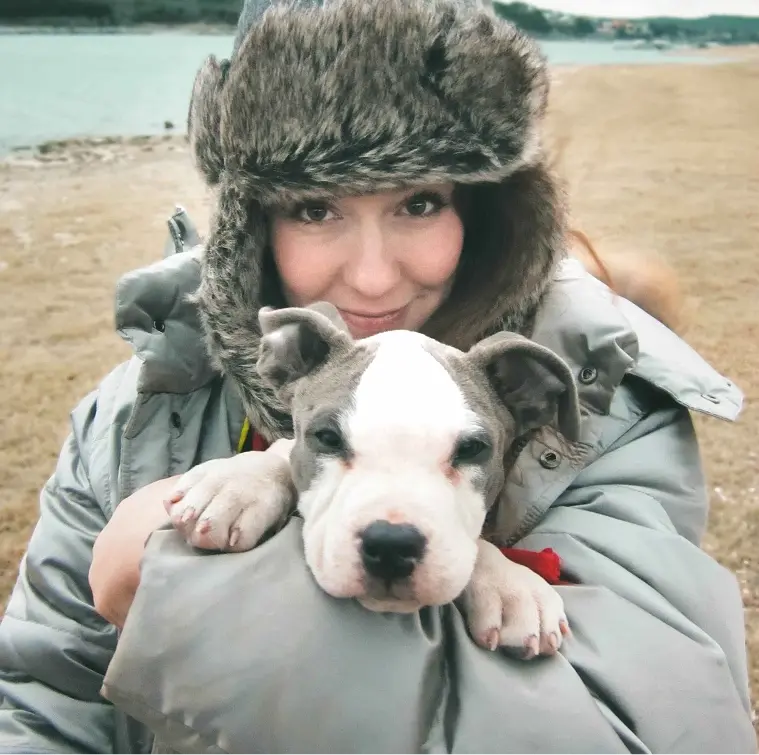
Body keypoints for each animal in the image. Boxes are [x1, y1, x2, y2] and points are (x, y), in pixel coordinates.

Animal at [168, 304, 580, 660]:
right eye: (328, 438)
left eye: (472, 449)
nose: (391, 546)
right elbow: (281, 454)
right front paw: (236, 483)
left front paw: (511, 586)